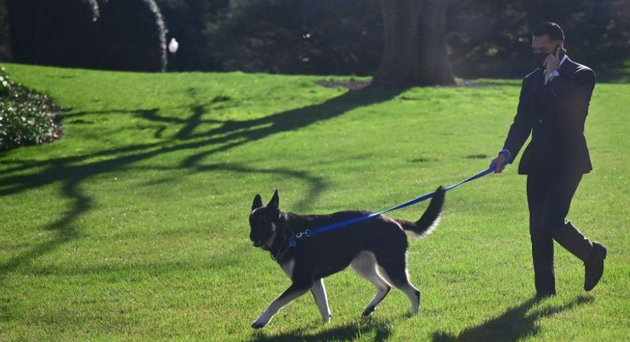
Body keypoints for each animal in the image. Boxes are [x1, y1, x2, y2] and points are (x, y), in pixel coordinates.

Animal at [247, 187, 444, 328]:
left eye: (263, 221)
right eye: (251, 222)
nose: (251, 236)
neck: (288, 233)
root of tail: (395, 221)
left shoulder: (302, 282)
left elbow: (276, 302)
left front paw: (261, 320)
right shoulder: (315, 281)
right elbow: (323, 305)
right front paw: (325, 325)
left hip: (391, 267)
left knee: (413, 292)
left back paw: (414, 315)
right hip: (362, 266)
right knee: (384, 287)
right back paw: (369, 309)